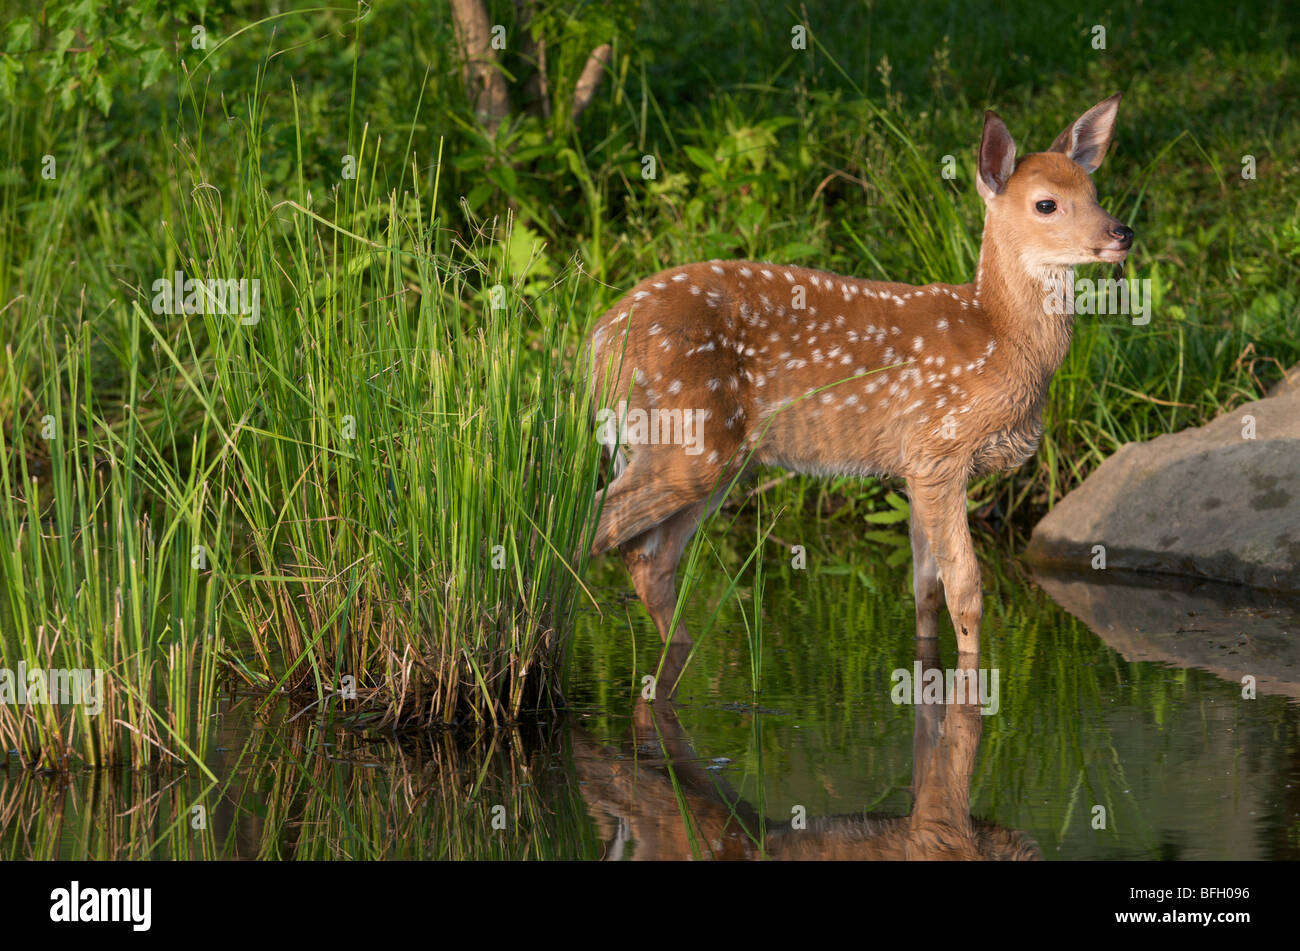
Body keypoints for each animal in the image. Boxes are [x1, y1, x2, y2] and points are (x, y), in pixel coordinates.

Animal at [586, 95, 1133, 690]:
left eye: (1094, 191)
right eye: (1046, 204)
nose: (1121, 233)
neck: (999, 338)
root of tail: (597, 343)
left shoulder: (916, 465)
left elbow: (925, 591)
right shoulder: (941, 448)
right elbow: (967, 591)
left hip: (718, 459)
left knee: (650, 559)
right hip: (685, 435)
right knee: (593, 525)